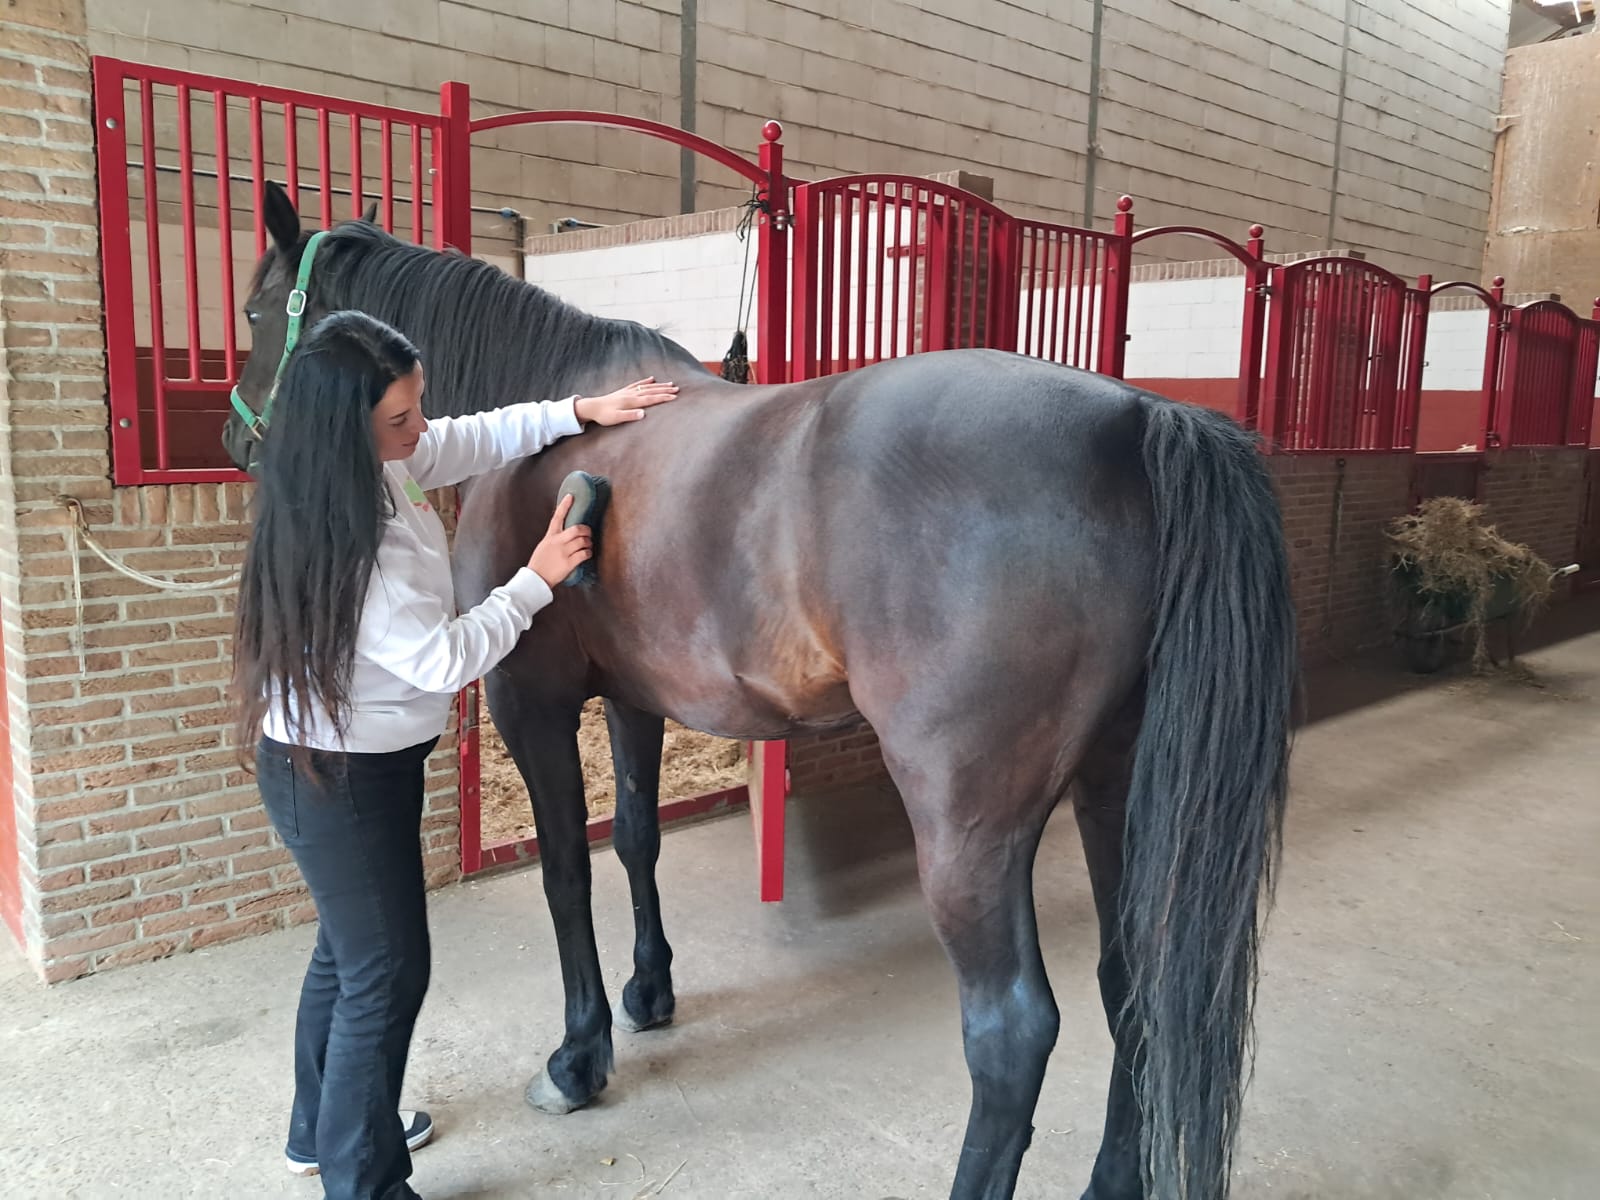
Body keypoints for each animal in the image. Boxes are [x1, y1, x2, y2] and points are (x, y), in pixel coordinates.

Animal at [225, 180, 1297, 1200]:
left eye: (254, 308)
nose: (240, 444)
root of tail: (1143, 418)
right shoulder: (633, 698)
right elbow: (638, 839)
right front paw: (648, 996)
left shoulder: (533, 705)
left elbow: (566, 870)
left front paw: (579, 1058)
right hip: (1119, 787)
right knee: (1136, 982)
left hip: (971, 827)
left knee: (1012, 1031)